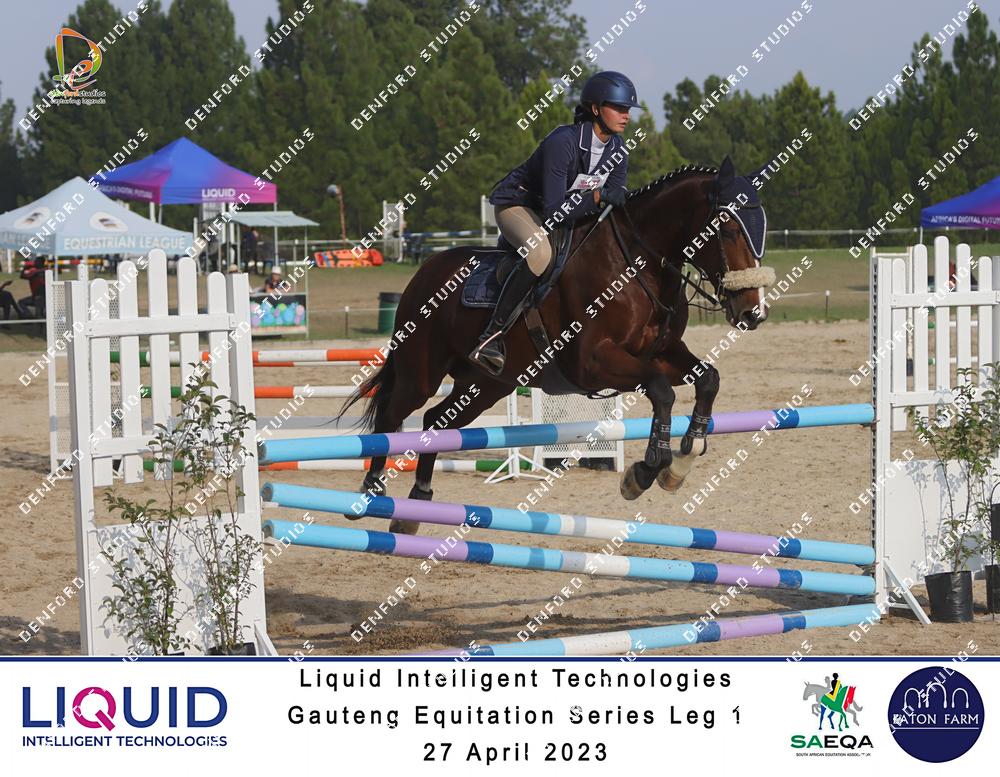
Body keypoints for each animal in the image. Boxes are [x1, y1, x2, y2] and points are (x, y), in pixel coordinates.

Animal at [340, 157, 775, 534]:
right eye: (730, 229)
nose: (752, 312)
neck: (639, 263)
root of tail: (425, 270)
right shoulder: (593, 363)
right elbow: (660, 391)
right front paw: (645, 471)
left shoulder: (663, 353)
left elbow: (708, 379)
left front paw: (681, 462)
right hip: (421, 372)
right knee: (392, 416)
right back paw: (371, 492)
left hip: (484, 386)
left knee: (436, 421)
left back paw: (416, 502)